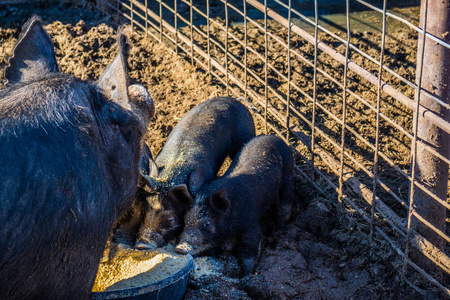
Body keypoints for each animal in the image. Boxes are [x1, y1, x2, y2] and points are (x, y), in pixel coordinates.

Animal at [176, 135, 296, 274]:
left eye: (206, 224)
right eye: (186, 218)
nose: (179, 248)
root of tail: (273, 136)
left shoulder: (251, 223)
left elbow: (251, 249)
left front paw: (248, 273)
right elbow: (227, 245)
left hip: (288, 171)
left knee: (286, 199)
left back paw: (281, 224)